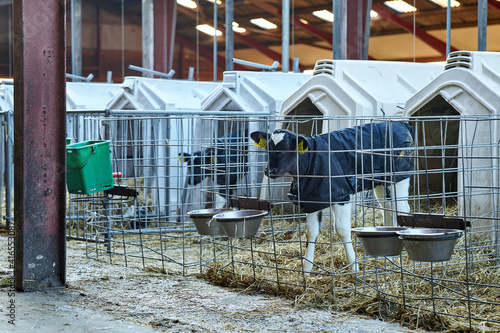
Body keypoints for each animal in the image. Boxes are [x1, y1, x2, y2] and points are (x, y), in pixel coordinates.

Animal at [252, 120, 416, 274]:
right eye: (268, 148)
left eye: (286, 149)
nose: (269, 170)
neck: (310, 161)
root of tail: (402, 124)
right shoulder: (311, 200)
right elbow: (310, 232)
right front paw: (306, 269)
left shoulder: (341, 196)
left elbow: (342, 229)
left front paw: (353, 266)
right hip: (381, 183)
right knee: (387, 208)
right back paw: (386, 252)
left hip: (399, 178)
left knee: (401, 209)